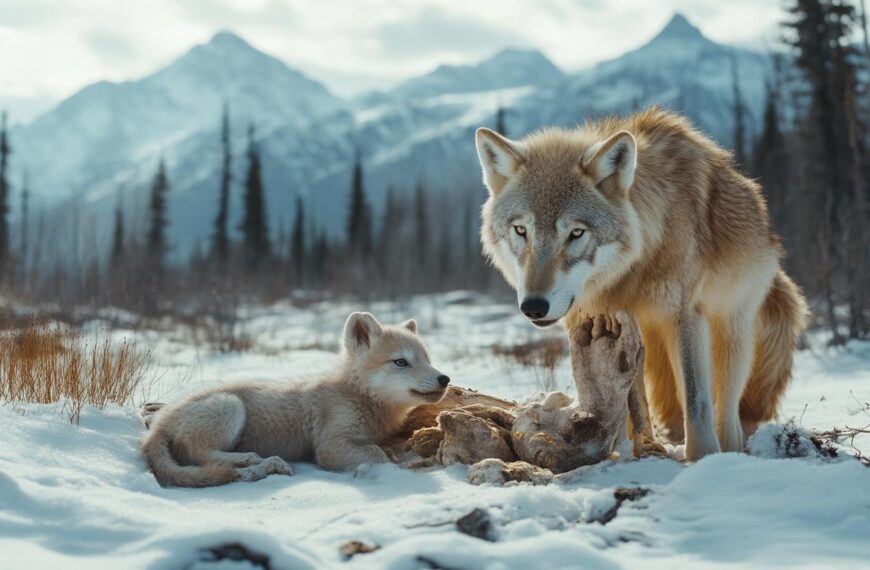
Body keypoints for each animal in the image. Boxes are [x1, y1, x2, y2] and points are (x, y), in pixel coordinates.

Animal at [480, 107, 808, 462]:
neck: (639, 260)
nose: (534, 307)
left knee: (727, 412)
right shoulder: (599, 321)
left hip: (730, 331)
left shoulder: (683, 315)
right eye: (521, 230)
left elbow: (696, 403)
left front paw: (702, 459)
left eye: (576, 233)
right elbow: (623, 407)